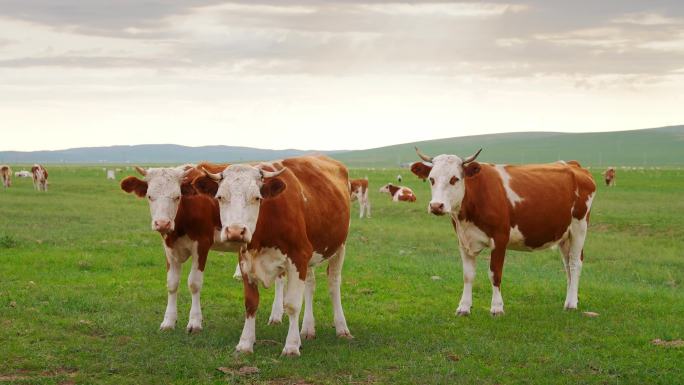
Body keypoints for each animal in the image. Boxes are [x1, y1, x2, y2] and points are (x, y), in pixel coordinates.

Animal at [120, 164, 286, 332]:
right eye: (149, 196)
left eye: (177, 197)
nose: (162, 223)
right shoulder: (170, 248)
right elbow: (172, 283)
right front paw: (168, 321)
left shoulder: (202, 246)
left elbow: (194, 283)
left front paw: (194, 322)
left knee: (280, 279)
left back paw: (276, 315)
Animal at [194, 154, 350, 356]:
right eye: (220, 197)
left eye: (256, 197)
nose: (236, 231)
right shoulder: (245, 261)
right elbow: (251, 303)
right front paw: (245, 343)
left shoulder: (298, 256)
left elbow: (292, 304)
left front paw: (291, 346)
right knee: (310, 284)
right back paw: (307, 328)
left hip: (339, 247)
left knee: (333, 284)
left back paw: (342, 328)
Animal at [408, 147, 596, 316]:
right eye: (431, 179)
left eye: (454, 179)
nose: (436, 206)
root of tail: (572, 165)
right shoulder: (463, 240)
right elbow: (468, 275)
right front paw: (464, 307)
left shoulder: (500, 239)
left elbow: (495, 273)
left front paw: (497, 308)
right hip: (564, 235)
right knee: (567, 266)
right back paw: (571, 298)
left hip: (579, 227)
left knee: (575, 264)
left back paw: (571, 304)